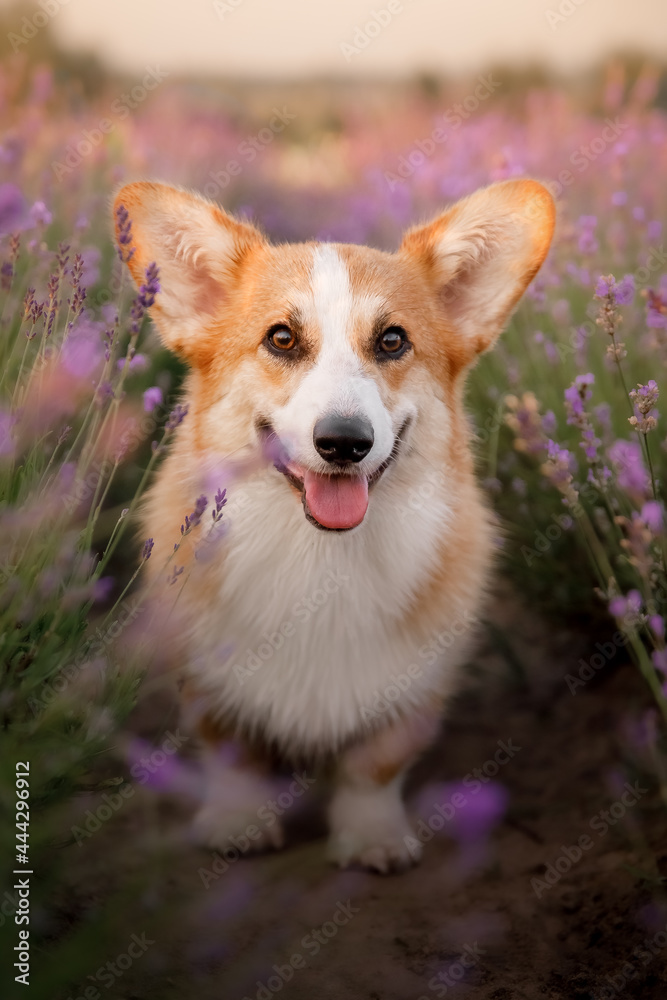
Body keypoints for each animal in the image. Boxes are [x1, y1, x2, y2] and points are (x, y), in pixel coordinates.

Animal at [115, 176, 552, 872]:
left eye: (393, 341)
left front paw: (373, 839)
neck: (319, 558)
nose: (344, 442)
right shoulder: (205, 678)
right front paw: (237, 824)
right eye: (281, 339)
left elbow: (373, 767)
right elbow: (233, 758)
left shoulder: (415, 687)